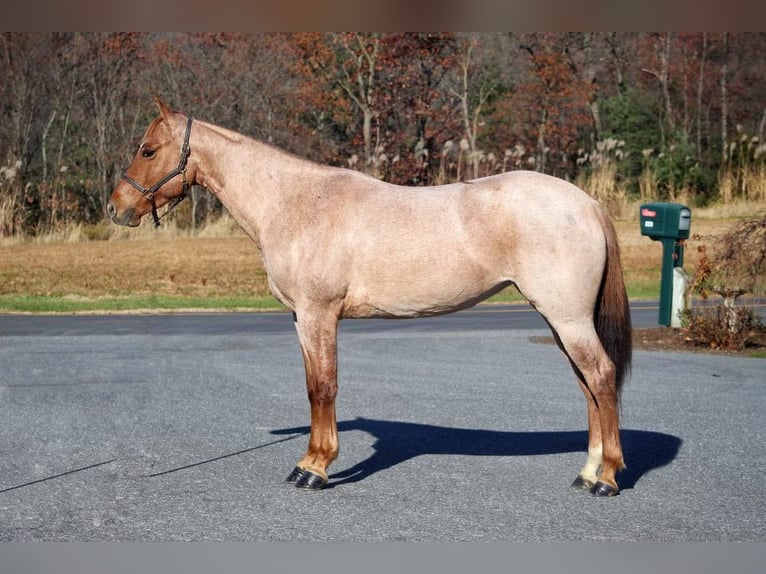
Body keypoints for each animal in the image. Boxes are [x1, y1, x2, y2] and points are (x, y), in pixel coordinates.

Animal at [108, 100, 636, 500]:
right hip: (560, 320)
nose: (116, 208)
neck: (296, 203)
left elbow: (324, 388)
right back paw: (587, 473)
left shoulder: (320, 314)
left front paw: (314, 468)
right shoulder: (302, 319)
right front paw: (310, 461)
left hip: (568, 319)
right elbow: (312, 387)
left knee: (601, 377)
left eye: (148, 149)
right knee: (588, 385)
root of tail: (586, 203)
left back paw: (607, 478)